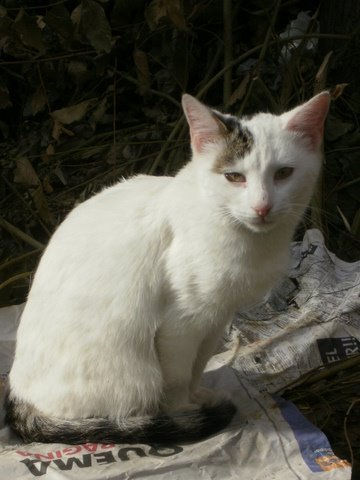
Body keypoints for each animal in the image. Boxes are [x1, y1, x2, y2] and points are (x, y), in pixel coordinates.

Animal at [7, 92, 330, 444]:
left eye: (283, 173)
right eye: (234, 177)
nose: (262, 207)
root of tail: (19, 392)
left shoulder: (217, 316)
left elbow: (198, 364)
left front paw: (197, 395)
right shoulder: (181, 323)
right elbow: (177, 376)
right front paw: (182, 410)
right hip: (134, 375)